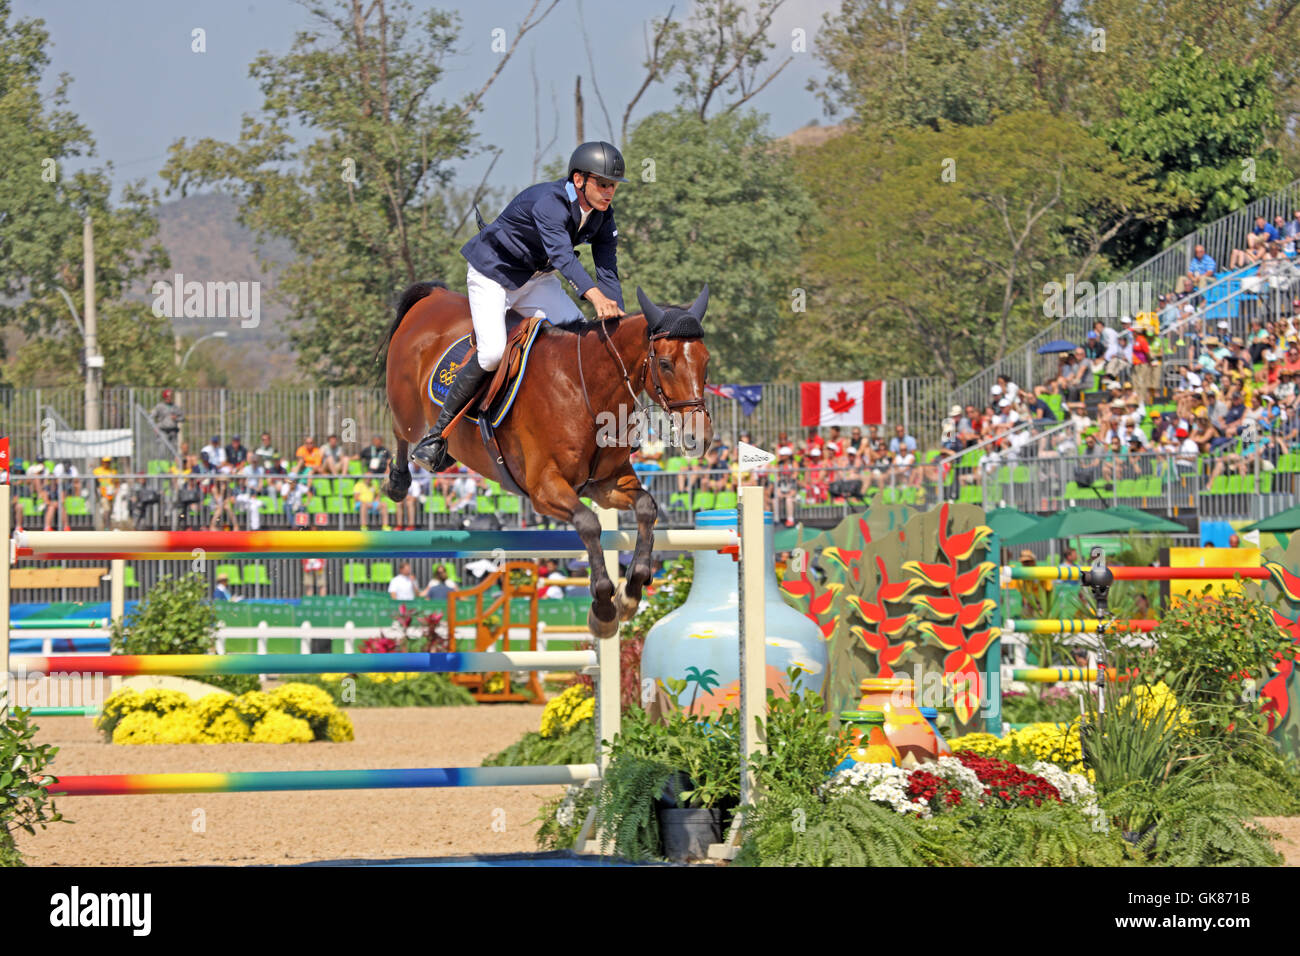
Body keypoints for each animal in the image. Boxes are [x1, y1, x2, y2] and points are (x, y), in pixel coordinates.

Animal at [379, 283, 712, 642]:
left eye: (706, 363)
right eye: (664, 363)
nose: (699, 437)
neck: (585, 389)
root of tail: (434, 296)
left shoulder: (604, 484)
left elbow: (647, 508)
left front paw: (630, 594)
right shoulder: (544, 489)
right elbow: (588, 524)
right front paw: (604, 609)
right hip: (407, 409)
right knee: (401, 432)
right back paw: (402, 477)